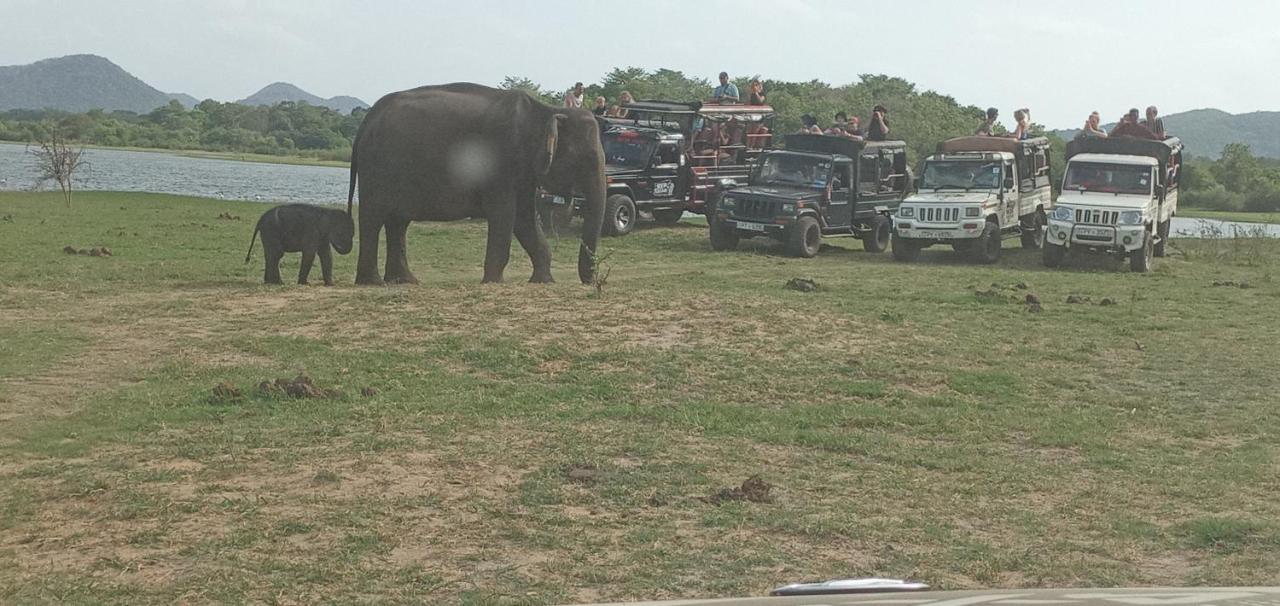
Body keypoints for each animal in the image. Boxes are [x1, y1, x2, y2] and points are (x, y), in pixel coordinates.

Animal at [348, 81, 606, 285]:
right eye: (586, 158)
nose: (591, 281)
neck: (546, 110)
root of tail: (366, 121)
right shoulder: (501, 162)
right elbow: (504, 215)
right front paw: (493, 282)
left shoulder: (522, 172)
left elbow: (524, 218)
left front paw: (543, 281)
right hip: (376, 167)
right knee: (373, 218)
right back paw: (372, 283)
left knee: (397, 222)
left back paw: (404, 281)